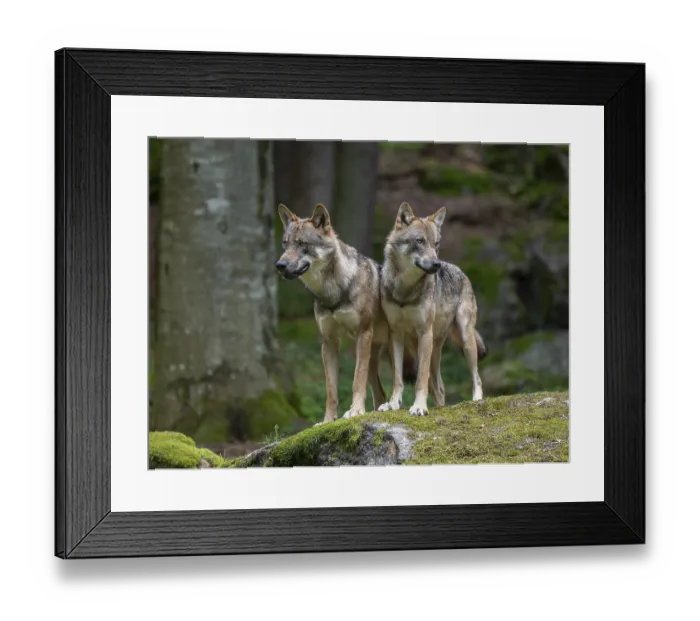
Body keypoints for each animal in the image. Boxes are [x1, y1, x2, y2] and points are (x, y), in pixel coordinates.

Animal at [276, 203, 389, 422]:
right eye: (285, 244)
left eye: (302, 243)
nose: (280, 265)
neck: (333, 290)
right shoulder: (328, 341)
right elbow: (331, 390)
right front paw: (327, 420)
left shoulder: (363, 335)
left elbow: (357, 379)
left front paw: (355, 411)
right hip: (375, 359)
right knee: (381, 394)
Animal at [378, 202, 487, 417]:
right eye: (420, 241)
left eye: (436, 244)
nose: (437, 264)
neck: (405, 289)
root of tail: (462, 272)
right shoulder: (395, 335)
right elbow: (397, 378)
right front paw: (393, 404)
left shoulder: (424, 333)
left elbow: (420, 379)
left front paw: (419, 407)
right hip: (422, 349)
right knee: (440, 387)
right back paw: (439, 407)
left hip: (465, 340)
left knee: (476, 377)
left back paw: (476, 400)